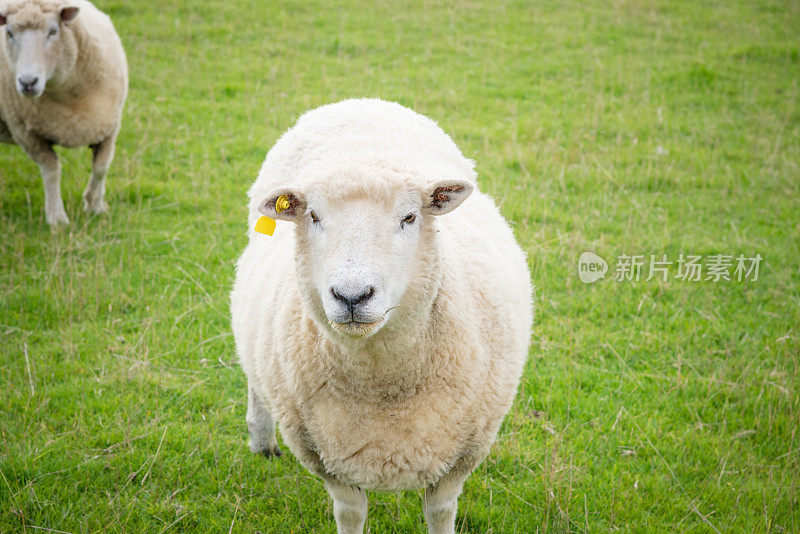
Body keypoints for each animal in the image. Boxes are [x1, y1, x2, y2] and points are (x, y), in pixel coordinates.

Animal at [0, 0, 126, 226]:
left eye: (53, 31)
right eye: (9, 33)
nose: (27, 82)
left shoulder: (109, 125)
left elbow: (101, 167)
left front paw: (95, 205)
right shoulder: (24, 132)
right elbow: (52, 171)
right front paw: (57, 218)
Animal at [230, 99, 532, 534]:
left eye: (409, 217)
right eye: (314, 216)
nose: (352, 295)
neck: (383, 383)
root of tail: (358, 101)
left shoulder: (463, 452)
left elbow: (440, 511)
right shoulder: (328, 457)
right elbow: (351, 513)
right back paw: (261, 439)